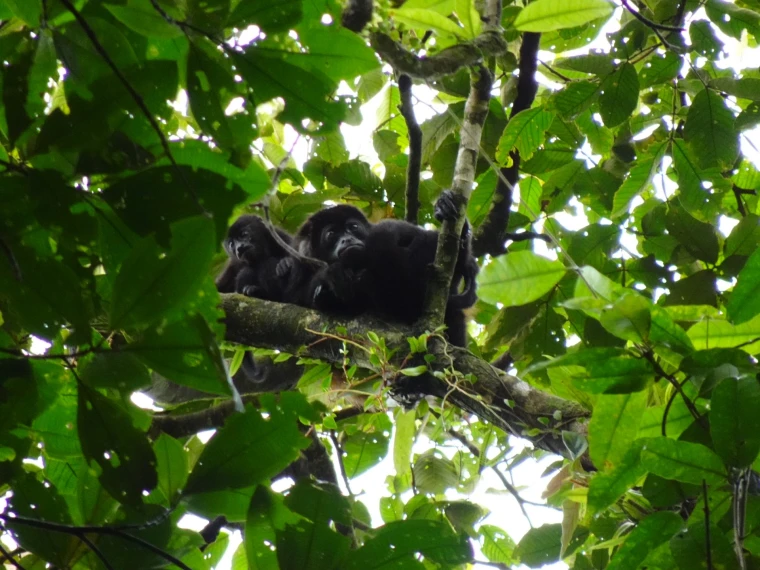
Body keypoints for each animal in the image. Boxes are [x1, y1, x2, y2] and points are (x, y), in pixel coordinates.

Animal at [294, 190, 478, 346]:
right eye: (331, 234)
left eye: (353, 227)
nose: (347, 239)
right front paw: (332, 277)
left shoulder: (397, 228)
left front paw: (446, 209)